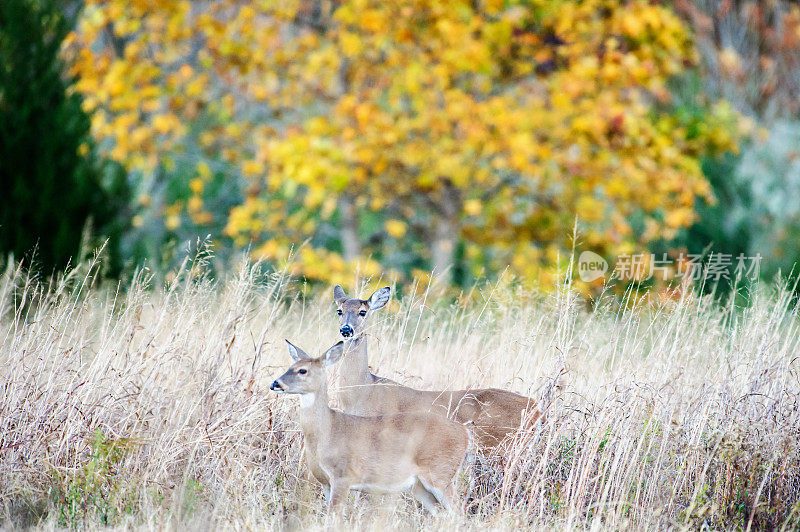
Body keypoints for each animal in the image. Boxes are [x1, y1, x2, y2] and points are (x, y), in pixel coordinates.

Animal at [270, 338, 468, 512]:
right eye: (289, 367)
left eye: (302, 370)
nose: (275, 383)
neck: (327, 432)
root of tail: (465, 433)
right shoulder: (325, 482)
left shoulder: (343, 475)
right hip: (420, 486)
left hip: (441, 473)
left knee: (459, 511)